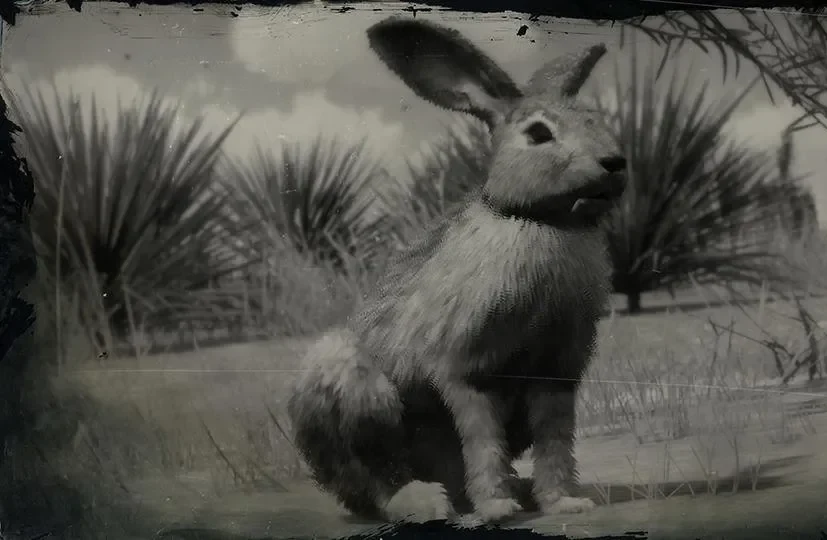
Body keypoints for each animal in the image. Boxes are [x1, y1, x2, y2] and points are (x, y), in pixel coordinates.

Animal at [287, 16, 627, 525]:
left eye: (595, 120)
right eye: (539, 134)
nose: (615, 163)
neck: (539, 220)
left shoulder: (555, 372)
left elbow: (555, 441)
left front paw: (565, 501)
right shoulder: (464, 368)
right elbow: (482, 438)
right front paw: (498, 508)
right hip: (354, 390)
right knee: (375, 480)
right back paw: (426, 502)